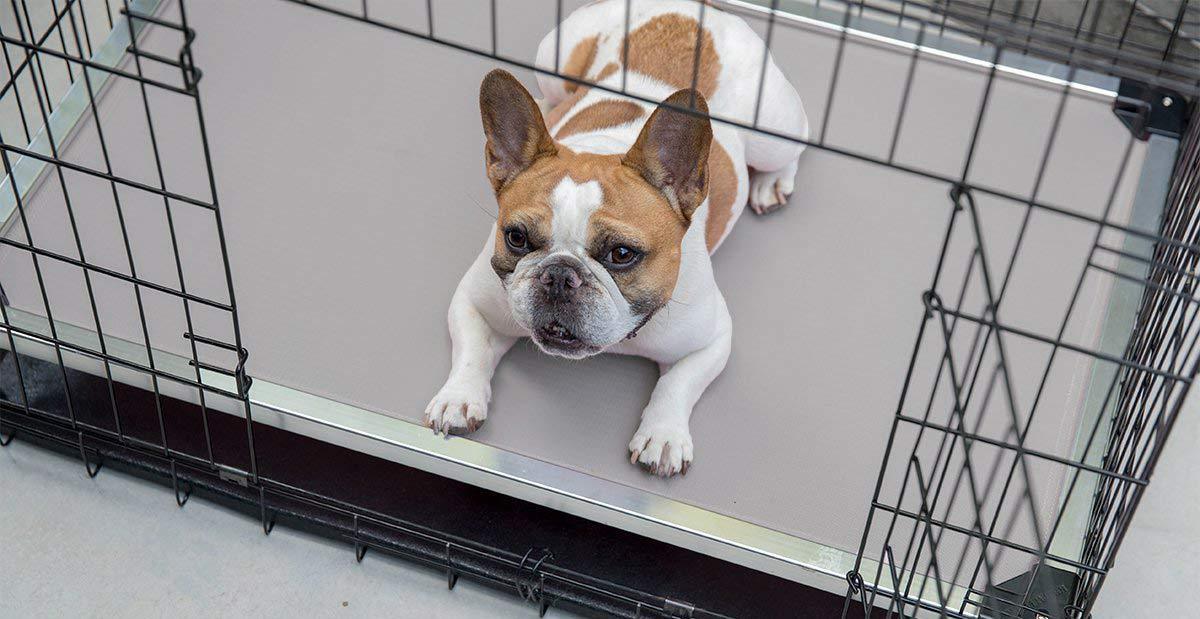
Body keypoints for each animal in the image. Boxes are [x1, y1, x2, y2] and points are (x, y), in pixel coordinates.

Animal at [422, 0, 806, 479]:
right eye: (516, 238)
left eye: (622, 254)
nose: (559, 276)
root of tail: (696, 9)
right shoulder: (474, 300)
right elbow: (471, 348)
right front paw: (459, 397)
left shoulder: (713, 339)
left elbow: (679, 384)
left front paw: (663, 435)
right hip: (552, 57)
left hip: (771, 133)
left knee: (795, 144)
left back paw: (772, 184)